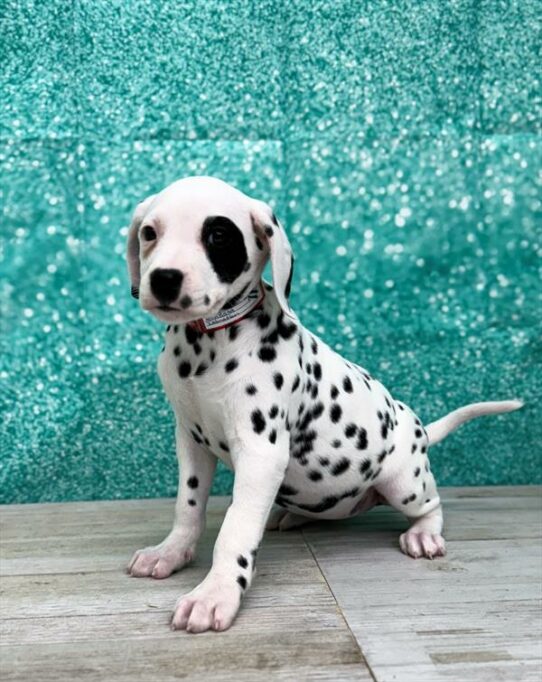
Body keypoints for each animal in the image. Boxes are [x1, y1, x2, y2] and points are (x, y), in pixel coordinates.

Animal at [125, 175, 524, 632]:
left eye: (219, 236)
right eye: (149, 233)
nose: (164, 279)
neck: (209, 342)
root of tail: (421, 430)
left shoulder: (260, 453)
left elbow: (235, 528)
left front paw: (215, 593)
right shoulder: (191, 441)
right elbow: (188, 507)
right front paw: (170, 552)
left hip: (404, 482)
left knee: (432, 504)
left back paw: (424, 533)